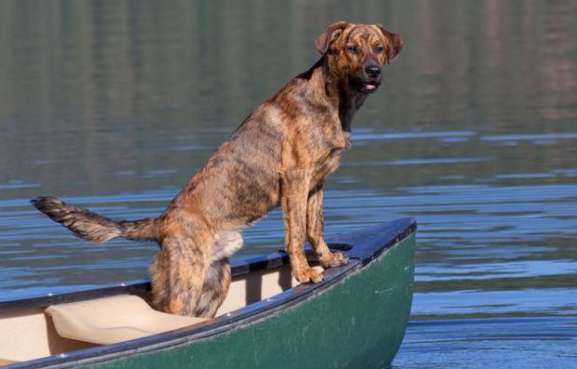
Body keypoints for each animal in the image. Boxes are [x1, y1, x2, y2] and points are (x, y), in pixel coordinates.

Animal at [30, 21, 400, 318]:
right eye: (352, 48)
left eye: (379, 48)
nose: (373, 71)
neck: (332, 99)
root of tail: (162, 224)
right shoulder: (296, 179)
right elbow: (295, 234)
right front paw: (305, 272)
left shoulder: (317, 184)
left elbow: (315, 227)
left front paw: (327, 259)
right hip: (186, 286)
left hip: (215, 282)